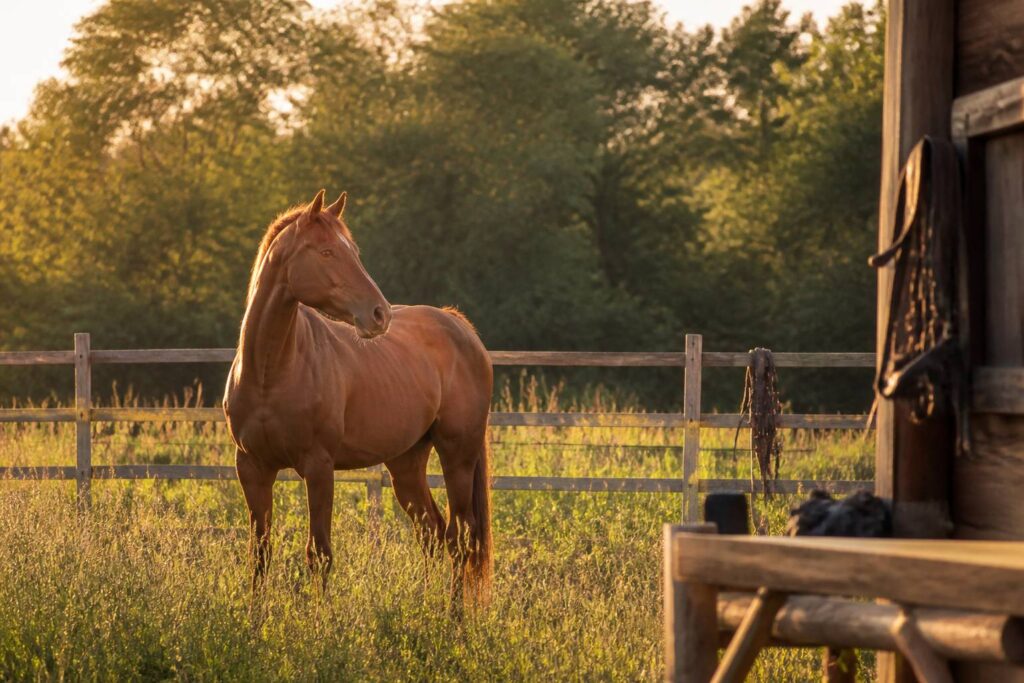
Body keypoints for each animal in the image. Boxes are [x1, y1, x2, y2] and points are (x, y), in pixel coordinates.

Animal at [223, 190, 493, 604]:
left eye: (353, 251)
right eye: (326, 252)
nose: (379, 314)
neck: (271, 372)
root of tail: (458, 325)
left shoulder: (318, 466)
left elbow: (319, 554)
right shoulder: (252, 468)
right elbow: (260, 553)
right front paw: (254, 616)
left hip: (457, 455)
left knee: (459, 538)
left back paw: (452, 615)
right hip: (406, 463)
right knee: (431, 532)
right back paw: (426, 606)